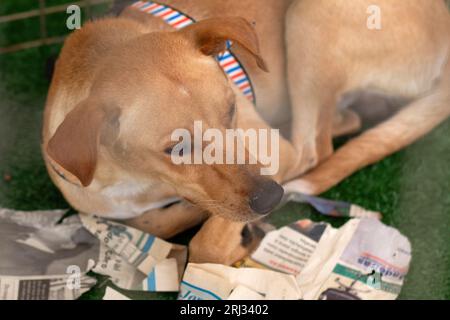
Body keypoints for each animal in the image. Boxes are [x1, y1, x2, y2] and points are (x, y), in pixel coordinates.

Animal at [43, 0, 450, 264]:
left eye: (231, 109)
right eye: (177, 149)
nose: (273, 197)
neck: (141, 182)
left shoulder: (276, 155)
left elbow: (206, 245)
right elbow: (148, 221)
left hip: (310, 15)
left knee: (315, 148)